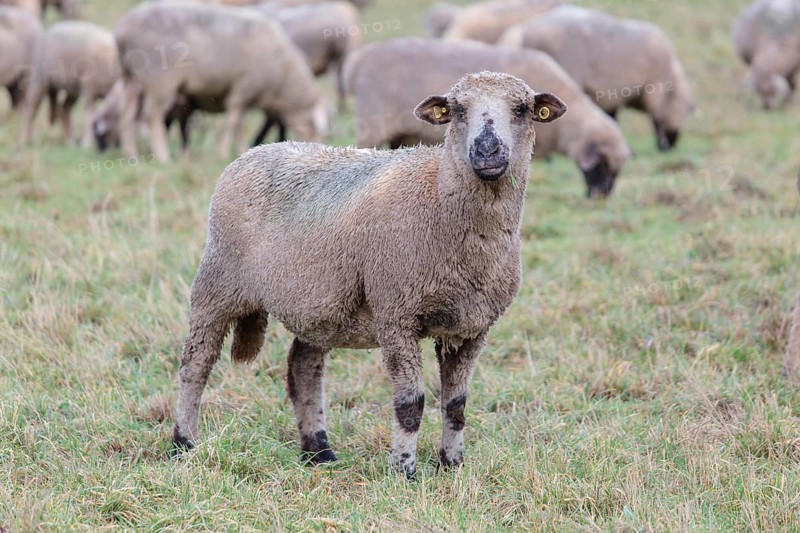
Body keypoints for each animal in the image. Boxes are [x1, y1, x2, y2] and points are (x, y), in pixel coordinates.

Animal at [115, 2, 329, 162]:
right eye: (316, 130)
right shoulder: (243, 88)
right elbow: (234, 123)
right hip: (160, 80)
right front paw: (227, 151)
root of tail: (123, 32)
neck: (283, 78)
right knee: (152, 117)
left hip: (130, 78)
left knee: (126, 117)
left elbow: (237, 125)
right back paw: (162, 156)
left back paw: (132, 156)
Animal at [172, 71, 567, 478]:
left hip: (320, 305)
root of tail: (253, 151)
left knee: (303, 368)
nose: (487, 150)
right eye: (457, 110)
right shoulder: (396, 314)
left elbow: (456, 404)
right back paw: (183, 443)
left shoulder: (472, 327)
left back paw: (319, 451)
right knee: (195, 365)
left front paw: (452, 466)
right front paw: (404, 471)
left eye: (521, 109)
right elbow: (411, 404)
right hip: (217, 282)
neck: (440, 200)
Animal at [499, 6, 694, 152]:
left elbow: (612, 117)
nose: (672, 146)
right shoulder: (654, 88)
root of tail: (519, 33)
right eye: (685, 113)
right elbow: (658, 119)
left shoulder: (611, 96)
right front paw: (661, 144)